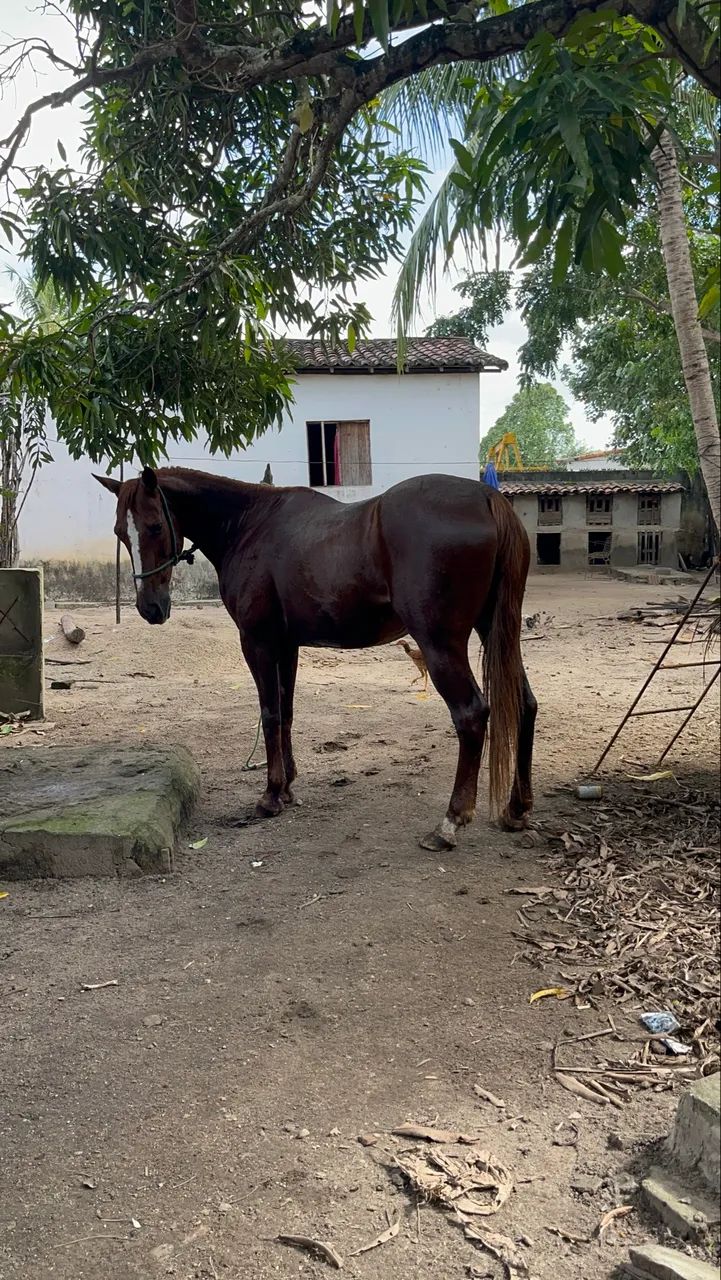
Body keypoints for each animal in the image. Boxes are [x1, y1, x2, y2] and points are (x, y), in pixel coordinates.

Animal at [96, 467, 536, 851]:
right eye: (120, 532)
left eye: (155, 526)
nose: (150, 608)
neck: (249, 524)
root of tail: (486, 497)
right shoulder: (286, 646)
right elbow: (287, 713)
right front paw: (288, 786)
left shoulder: (257, 643)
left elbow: (270, 713)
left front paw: (271, 795)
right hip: (496, 630)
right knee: (525, 704)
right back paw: (517, 808)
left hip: (440, 644)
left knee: (471, 715)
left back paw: (450, 823)